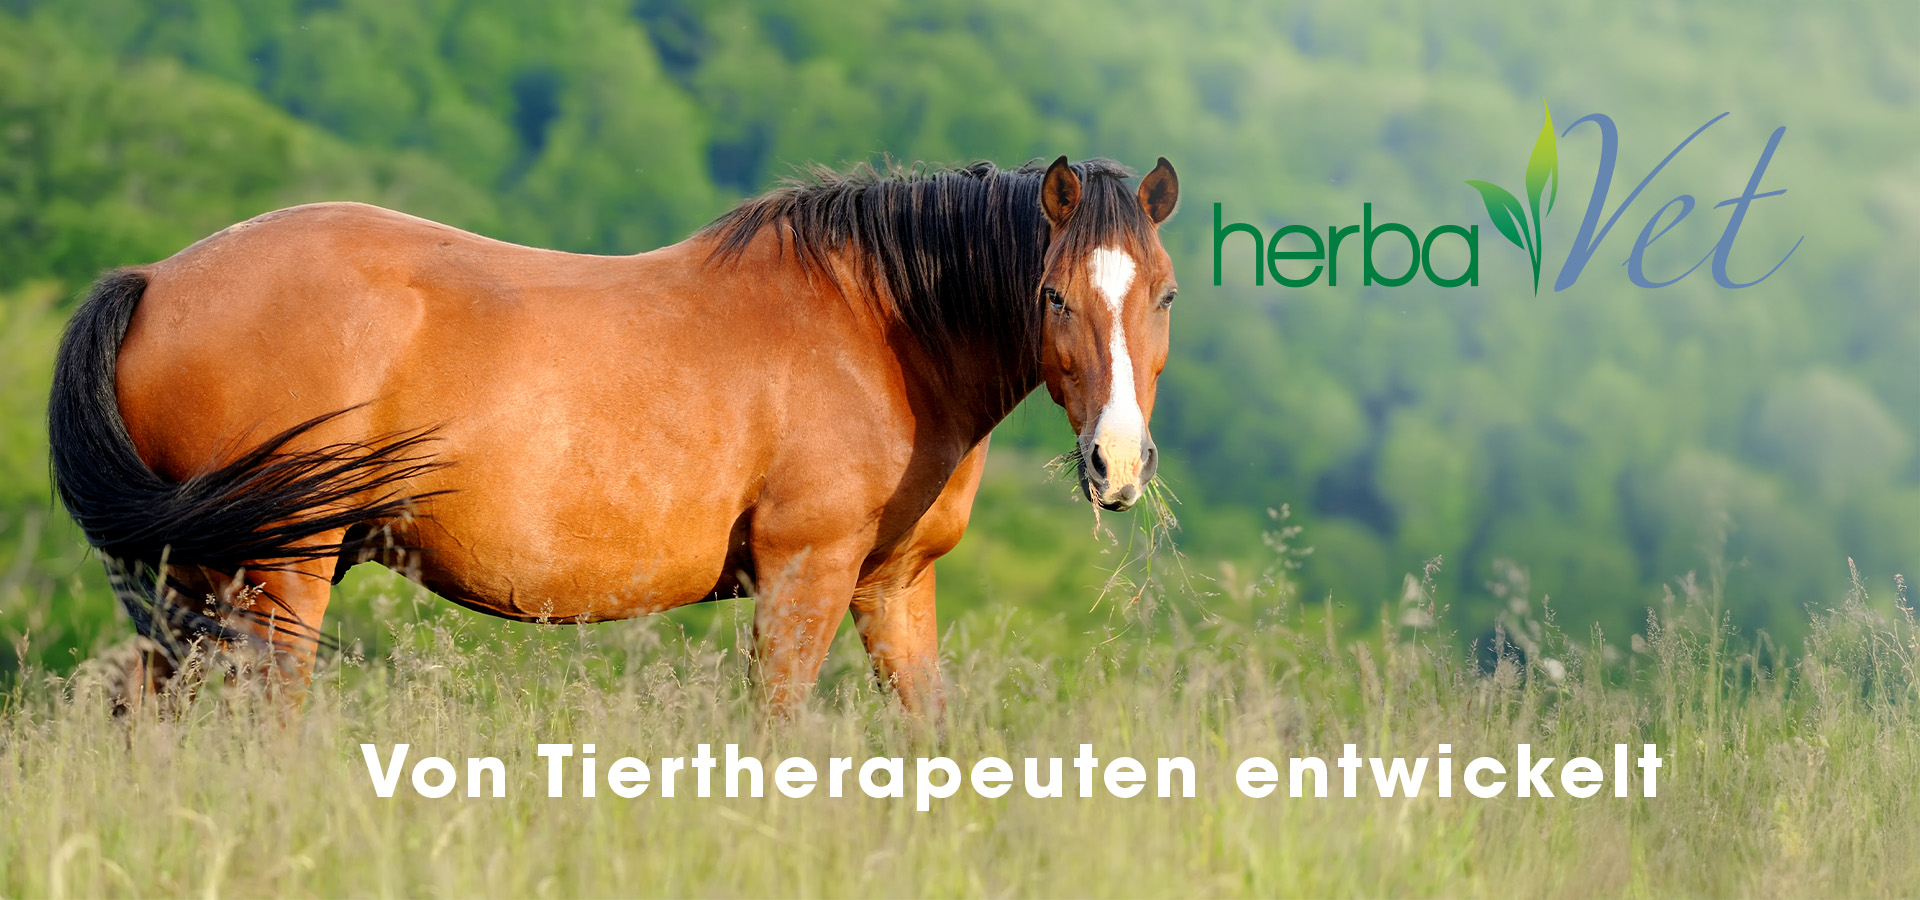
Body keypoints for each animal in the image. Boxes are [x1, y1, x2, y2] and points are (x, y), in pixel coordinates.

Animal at [48, 155, 1181, 716]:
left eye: (1163, 294)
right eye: (1053, 295)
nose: (1116, 465)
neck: (877, 328)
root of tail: (154, 281)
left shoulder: (892, 588)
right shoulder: (804, 574)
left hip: (190, 585)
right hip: (278, 576)